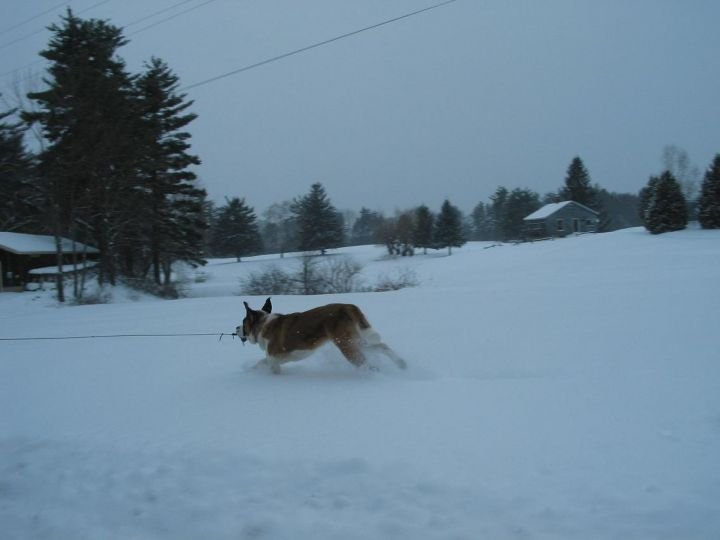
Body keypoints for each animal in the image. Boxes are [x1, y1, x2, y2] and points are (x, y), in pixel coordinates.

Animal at [236, 298, 404, 374]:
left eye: (243, 322)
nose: (236, 328)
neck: (263, 324)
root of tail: (346, 307)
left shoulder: (273, 359)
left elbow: (267, 364)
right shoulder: (274, 358)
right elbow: (260, 363)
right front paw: (249, 371)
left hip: (346, 345)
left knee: (364, 363)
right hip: (357, 341)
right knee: (382, 347)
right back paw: (402, 364)